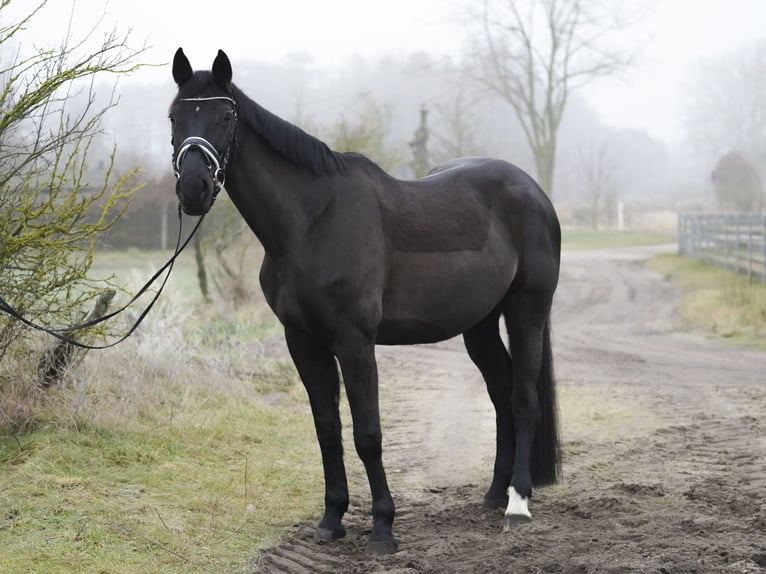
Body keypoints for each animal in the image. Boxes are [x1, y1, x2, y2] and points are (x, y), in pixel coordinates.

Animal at [170, 49, 564, 560]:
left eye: (224, 117)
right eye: (175, 117)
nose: (193, 189)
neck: (311, 222)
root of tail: (533, 191)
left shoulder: (354, 342)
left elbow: (368, 434)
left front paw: (382, 528)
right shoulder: (304, 342)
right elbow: (327, 429)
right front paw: (331, 520)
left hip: (526, 311)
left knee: (523, 396)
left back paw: (517, 503)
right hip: (479, 323)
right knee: (500, 392)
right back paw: (496, 493)